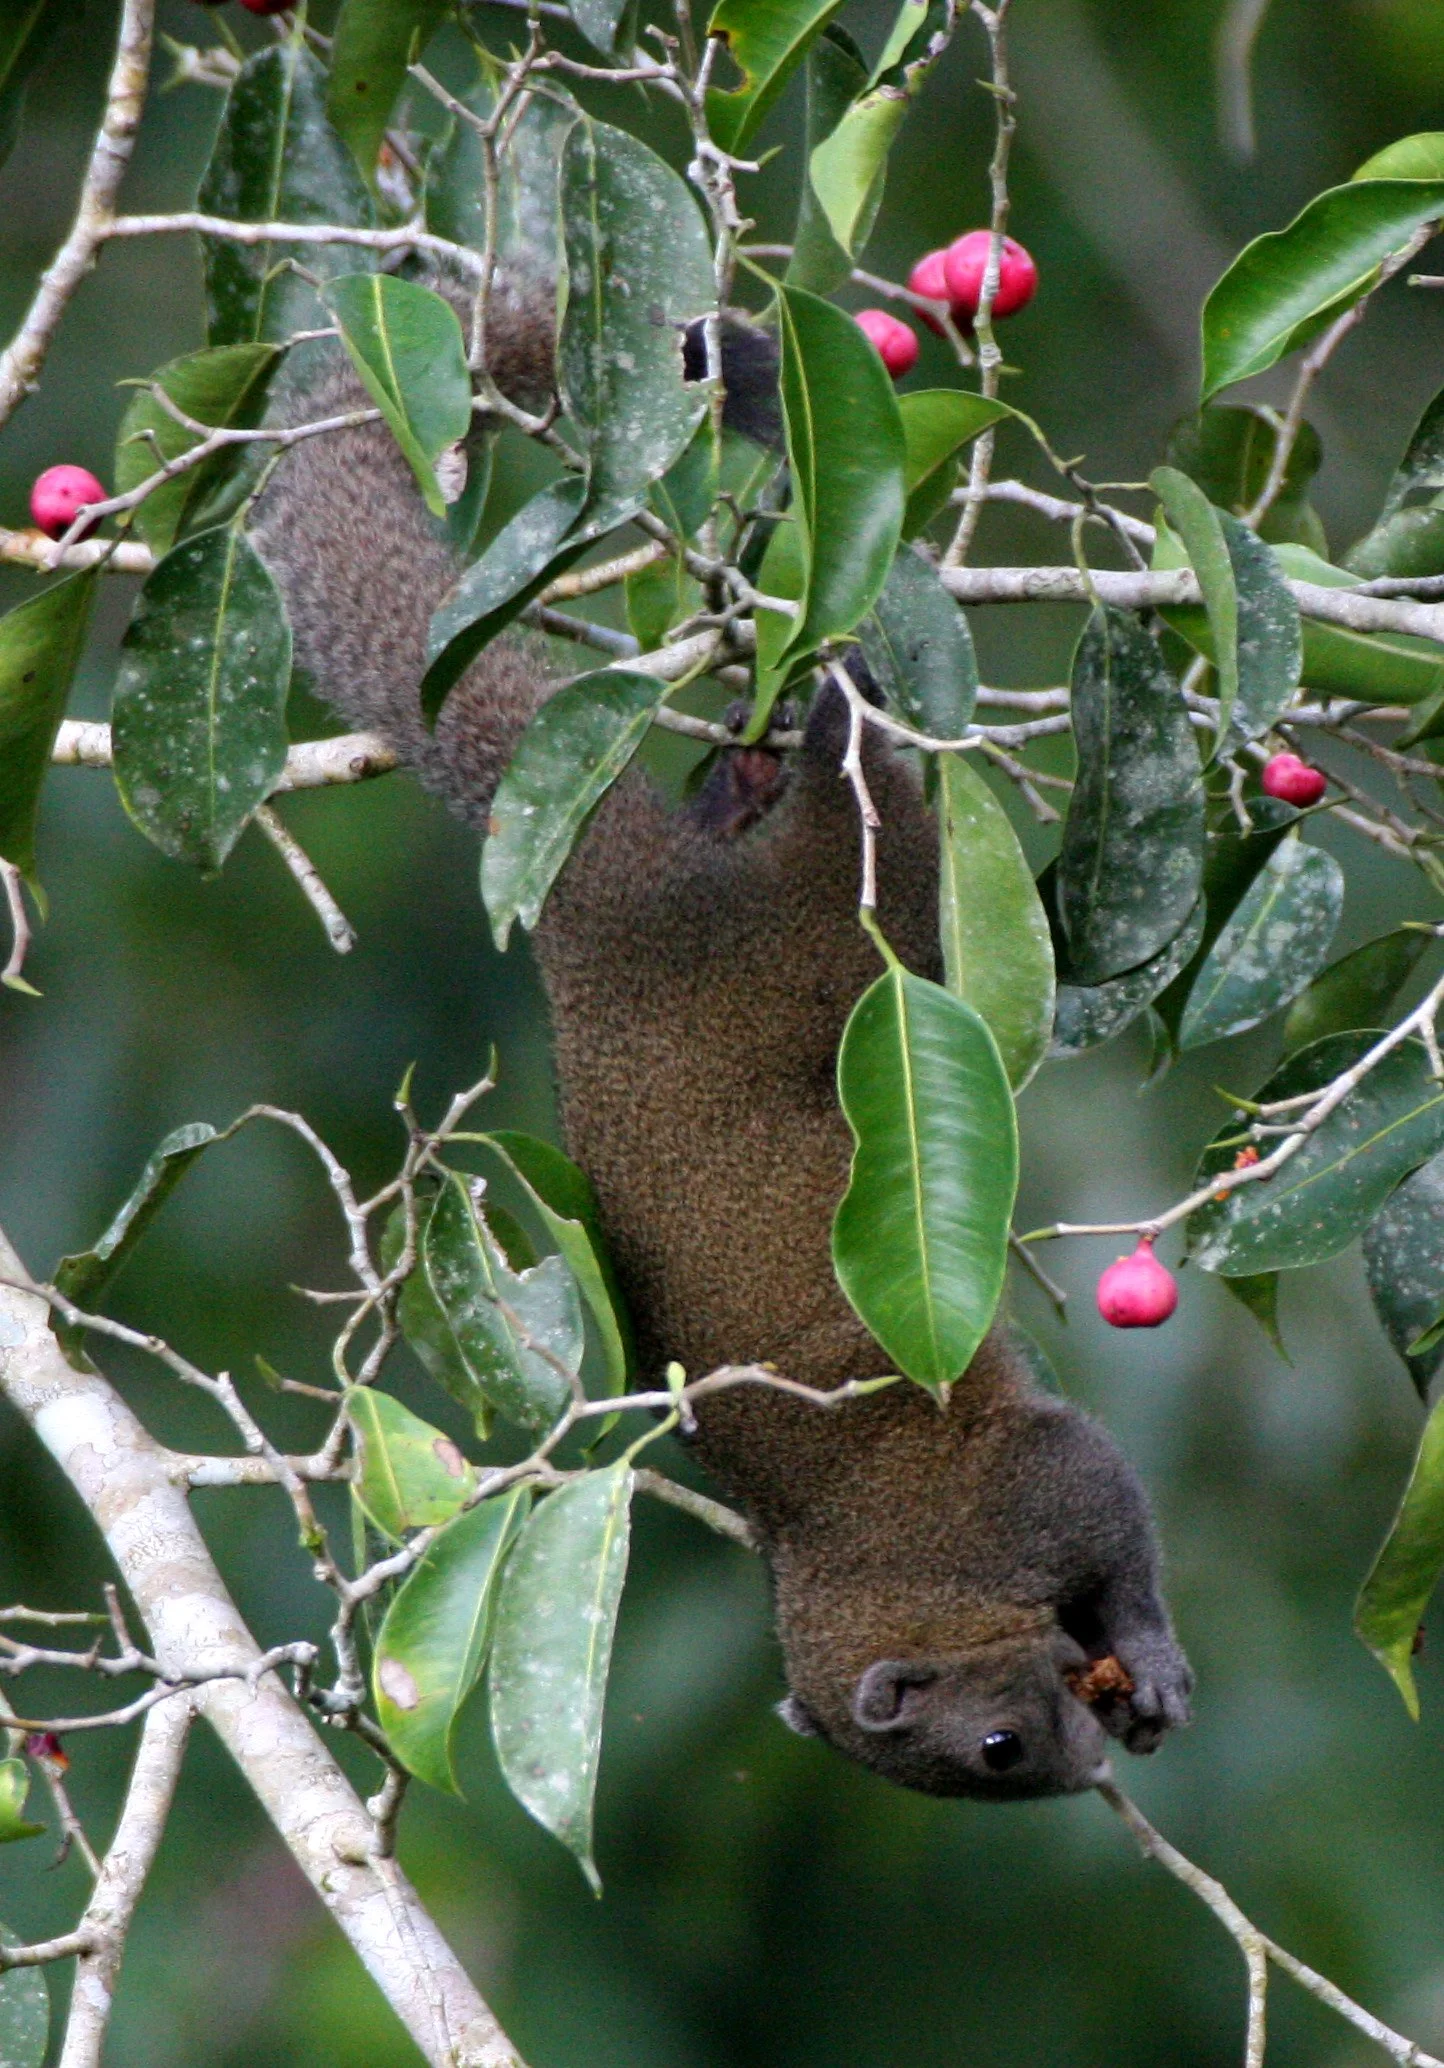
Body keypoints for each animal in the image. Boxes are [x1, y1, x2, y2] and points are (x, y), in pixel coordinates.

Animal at [250, 279, 1192, 1804]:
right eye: (997, 1758)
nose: (1080, 1767)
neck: (875, 1559)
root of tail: (593, 901)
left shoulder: (1025, 1486)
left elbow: (1114, 1512)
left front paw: (1152, 1660)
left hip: (836, 915)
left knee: (868, 803)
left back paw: (835, 701)